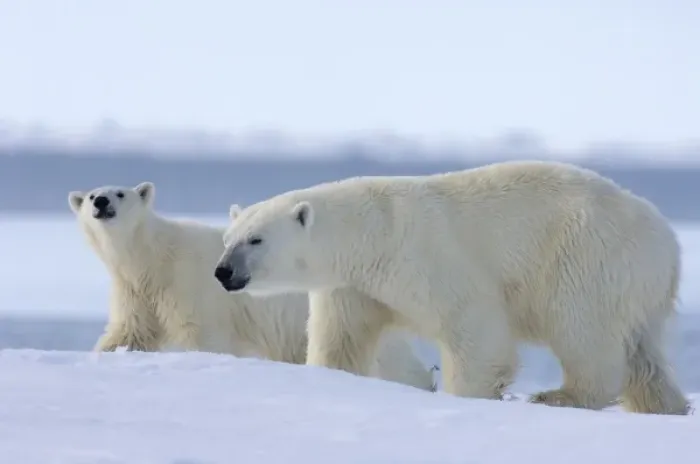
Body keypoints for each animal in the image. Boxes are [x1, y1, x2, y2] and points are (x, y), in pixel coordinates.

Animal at [67, 181, 436, 392]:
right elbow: (128, 332)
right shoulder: (136, 291)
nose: (101, 202)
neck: (154, 257)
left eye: (120, 193)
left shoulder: (190, 286)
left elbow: (204, 337)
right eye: (90, 195)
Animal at [214, 160, 690, 415]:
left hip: (588, 258)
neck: (372, 232)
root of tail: (669, 243)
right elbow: (341, 339)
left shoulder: (427, 257)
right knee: (644, 357)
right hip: (637, 287)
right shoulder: (354, 287)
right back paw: (666, 405)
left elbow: (475, 329)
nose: (223, 272)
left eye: (255, 240)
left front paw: (468, 395)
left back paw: (558, 396)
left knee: (583, 330)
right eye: (227, 238)